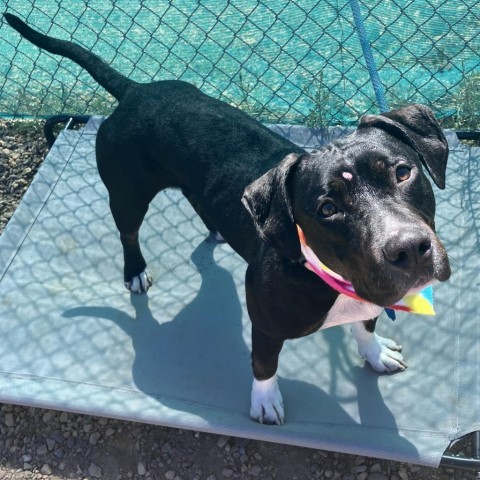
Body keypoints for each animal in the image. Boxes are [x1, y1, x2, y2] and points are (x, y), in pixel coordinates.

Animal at [6, 13, 450, 424]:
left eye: (402, 172)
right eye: (327, 208)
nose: (409, 248)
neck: (331, 276)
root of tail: (135, 92)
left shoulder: (369, 297)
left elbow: (366, 325)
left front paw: (374, 352)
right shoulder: (265, 323)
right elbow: (264, 364)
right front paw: (265, 401)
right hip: (127, 195)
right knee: (128, 233)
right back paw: (135, 270)